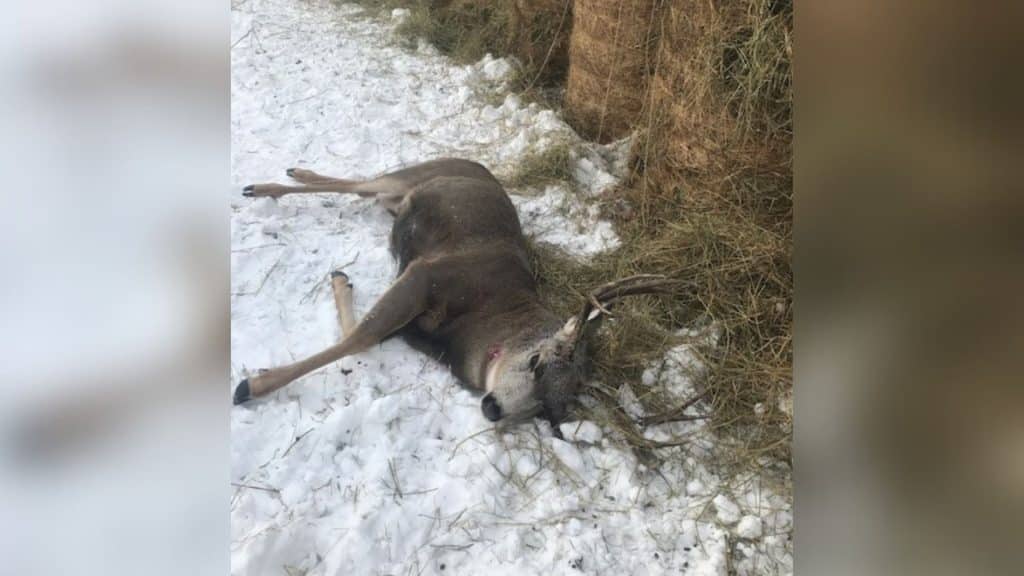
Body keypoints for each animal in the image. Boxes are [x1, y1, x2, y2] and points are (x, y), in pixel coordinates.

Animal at [233, 158, 673, 428]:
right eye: (537, 362)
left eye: (549, 410)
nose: (494, 408)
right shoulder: (429, 275)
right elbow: (360, 337)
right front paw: (251, 385)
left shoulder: (414, 320)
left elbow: (361, 336)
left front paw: (342, 280)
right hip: (409, 178)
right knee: (363, 183)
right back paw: (266, 184)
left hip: (394, 199)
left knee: (361, 191)